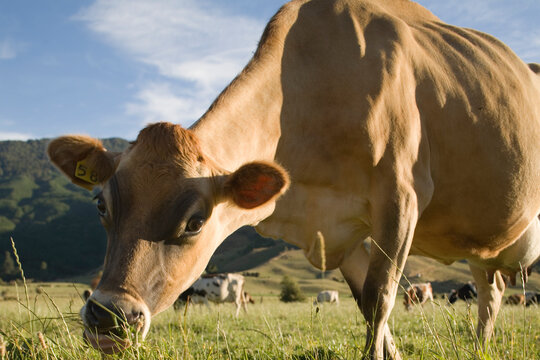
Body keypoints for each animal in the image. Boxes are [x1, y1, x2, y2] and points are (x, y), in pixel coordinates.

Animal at [47, 0, 540, 358]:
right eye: (101, 206)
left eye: (195, 222)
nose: (106, 318)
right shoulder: (338, 230)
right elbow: (367, 305)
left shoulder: (402, 199)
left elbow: (381, 297)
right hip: (483, 245)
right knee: (491, 288)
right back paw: (480, 347)